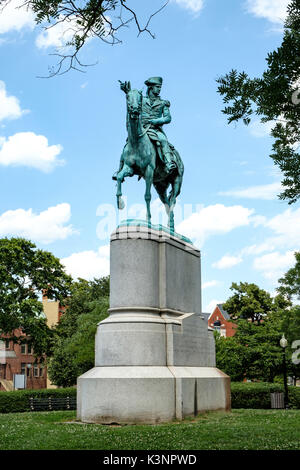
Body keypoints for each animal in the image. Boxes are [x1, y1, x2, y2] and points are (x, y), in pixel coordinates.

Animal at [114, 86, 183, 231]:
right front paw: (120, 203)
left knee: (172, 200)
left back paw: (171, 226)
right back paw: (170, 227)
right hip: (160, 186)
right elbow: (119, 177)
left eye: (140, 97)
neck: (137, 142)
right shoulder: (129, 168)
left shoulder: (149, 171)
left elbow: (147, 196)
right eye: (127, 96)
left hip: (177, 182)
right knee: (167, 203)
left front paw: (148, 220)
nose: (135, 110)